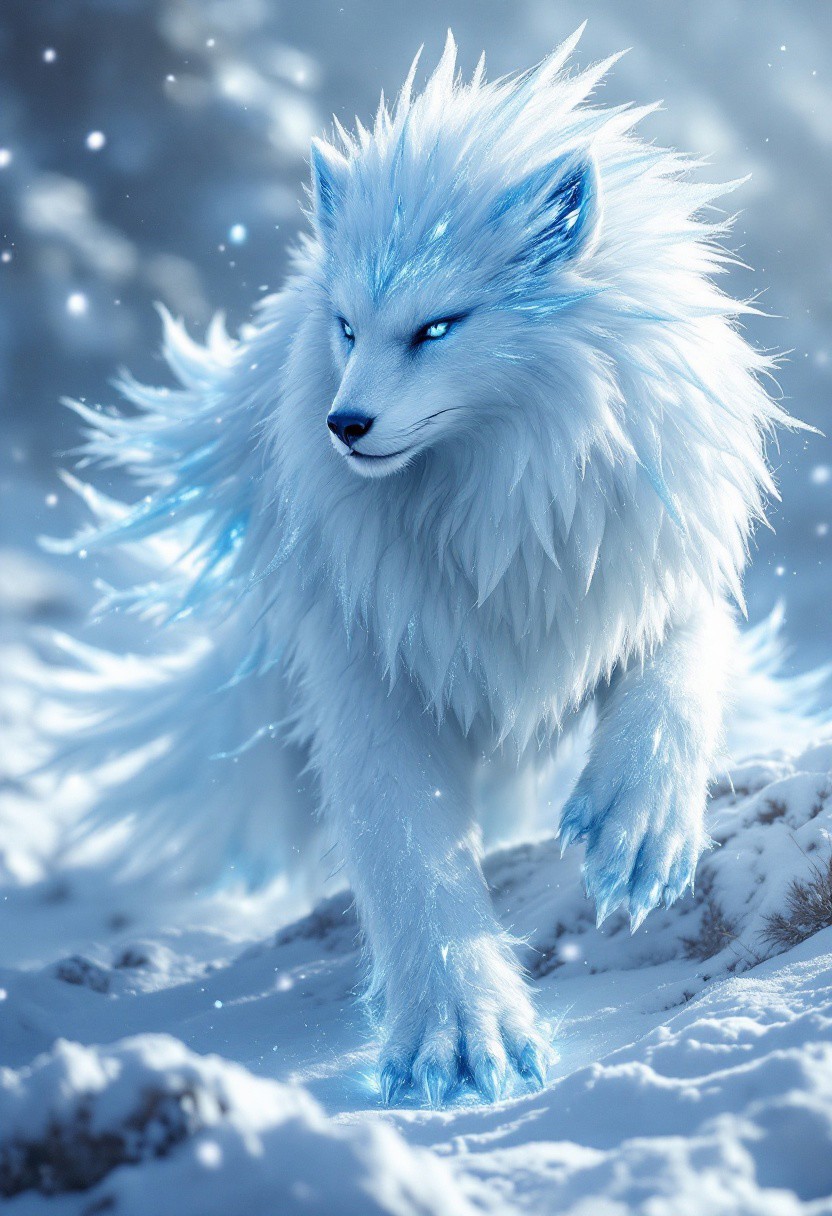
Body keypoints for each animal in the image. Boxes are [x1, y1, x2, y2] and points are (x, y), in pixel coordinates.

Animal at [43, 28, 813, 1106]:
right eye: (347, 327)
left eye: (438, 326)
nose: (344, 425)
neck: (505, 517)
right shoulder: (371, 661)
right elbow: (410, 855)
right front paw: (460, 1043)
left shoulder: (654, 567)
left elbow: (677, 678)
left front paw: (637, 835)